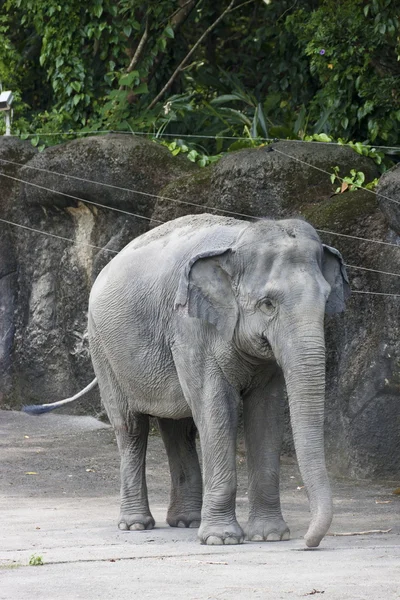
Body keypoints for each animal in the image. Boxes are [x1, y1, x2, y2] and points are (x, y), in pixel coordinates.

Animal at [25, 213, 350, 548]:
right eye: (267, 304)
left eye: (327, 299)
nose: (309, 542)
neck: (239, 237)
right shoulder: (189, 327)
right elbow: (216, 407)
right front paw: (222, 540)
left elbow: (266, 411)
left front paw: (270, 536)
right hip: (103, 350)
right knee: (131, 427)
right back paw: (136, 525)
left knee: (178, 428)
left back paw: (186, 521)